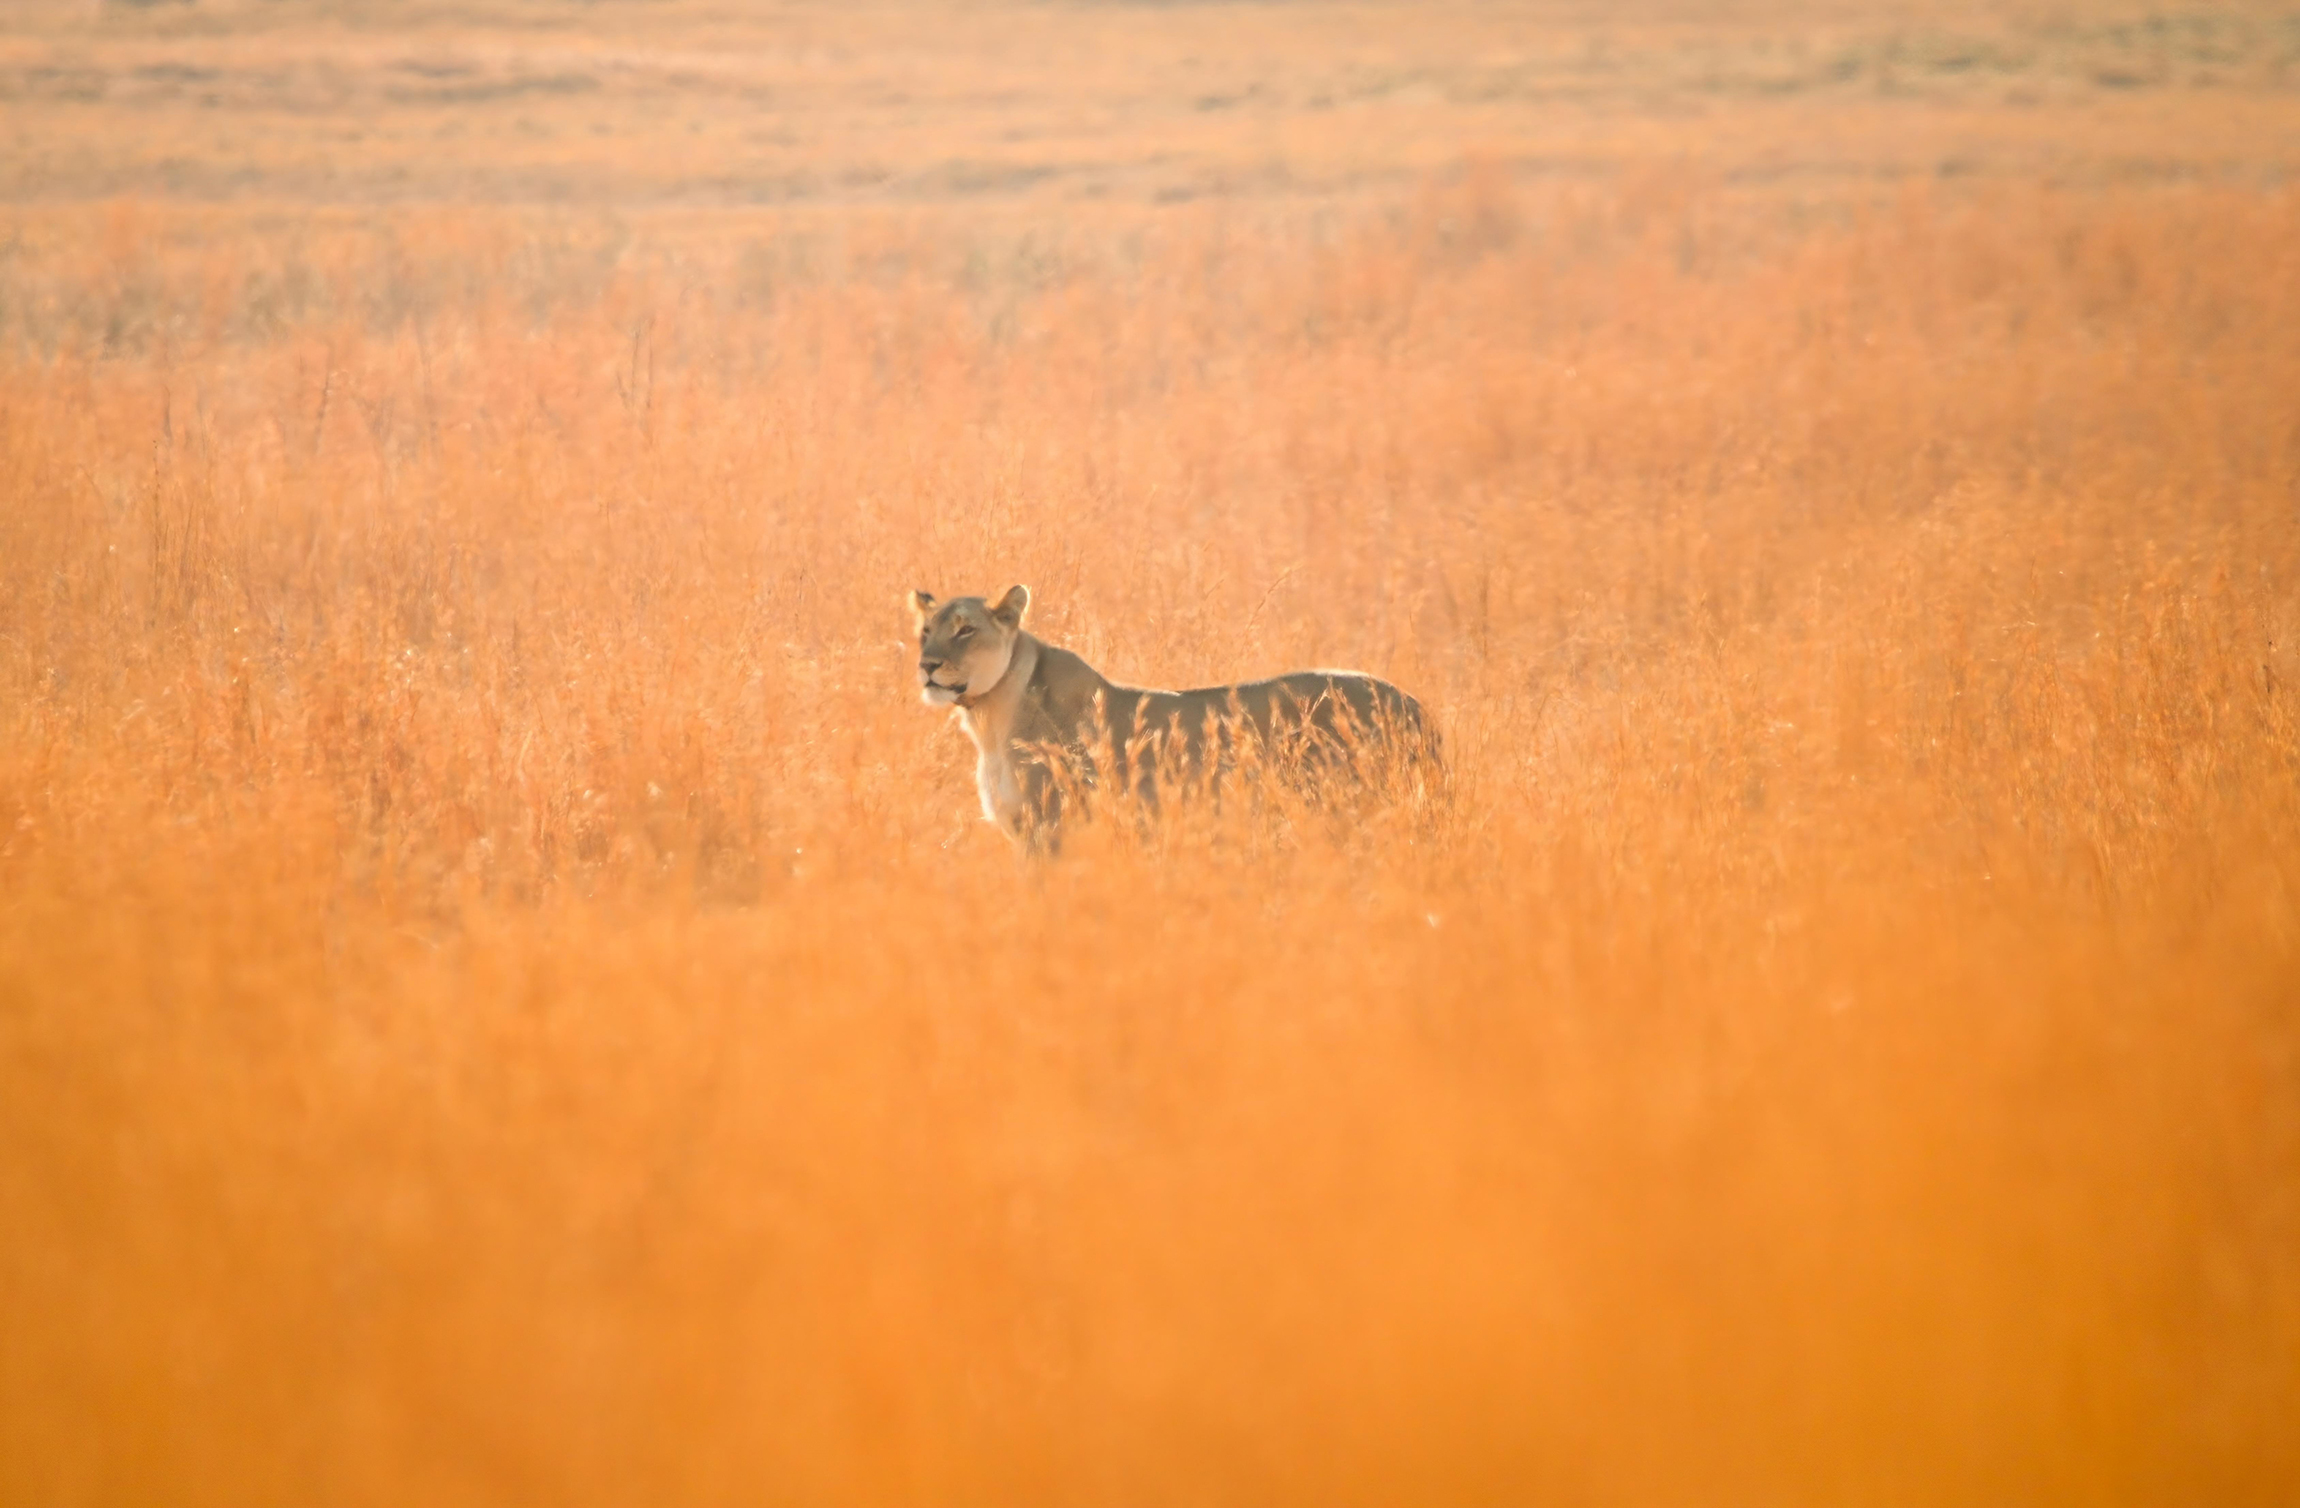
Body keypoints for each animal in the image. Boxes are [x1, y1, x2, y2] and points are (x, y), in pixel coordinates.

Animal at [909, 584, 1439, 850]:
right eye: (925, 632)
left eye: (965, 631)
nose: (927, 665)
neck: (989, 718)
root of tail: (1413, 703)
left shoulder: (1052, 828)